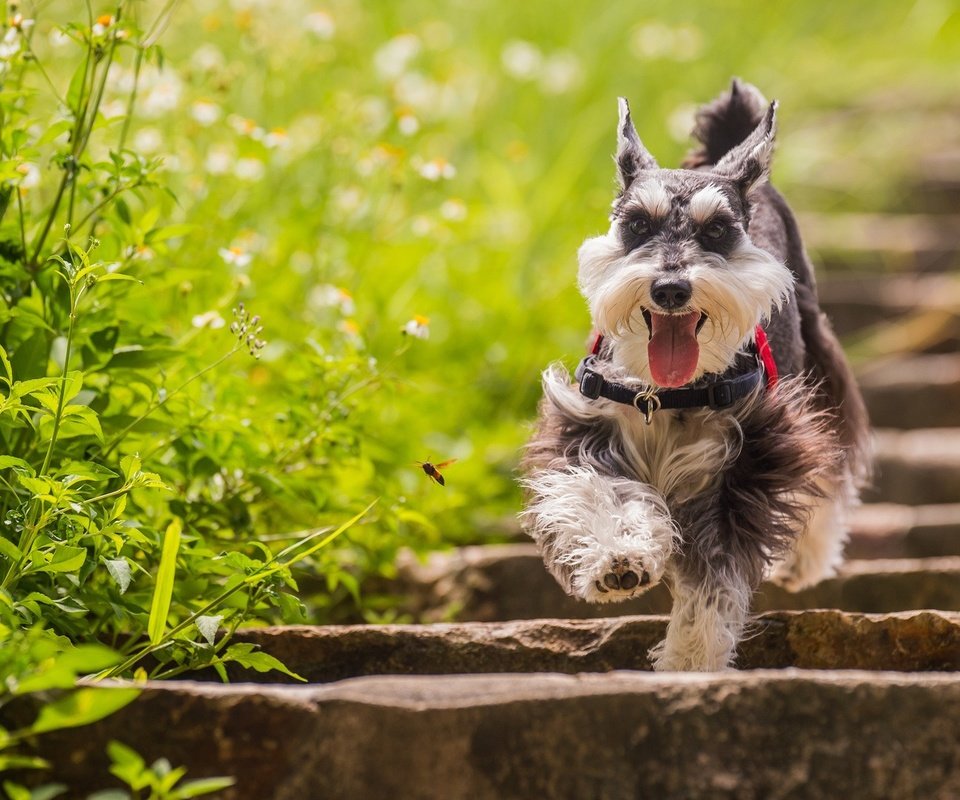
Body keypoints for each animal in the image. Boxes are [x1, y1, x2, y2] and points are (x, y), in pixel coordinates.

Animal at [520, 81, 872, 668]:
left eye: (718, 231)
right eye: (637, 224)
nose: (670, 289)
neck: (666, 393)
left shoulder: (746, 464)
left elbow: (714, 578)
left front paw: (690, 660)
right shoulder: (585, 429)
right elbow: (601, 493)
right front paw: (618, 558)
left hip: (818, 362)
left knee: (832, 464)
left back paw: (806, 559)